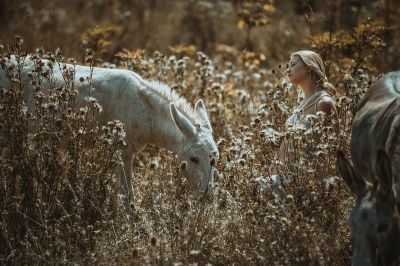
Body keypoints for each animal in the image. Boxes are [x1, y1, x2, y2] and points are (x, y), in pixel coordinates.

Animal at [0, 55, 219, 200]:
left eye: (215, 160)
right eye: (193, 159)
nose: (208, 197)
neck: (142, 112)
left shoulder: (128, 152)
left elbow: (127, 194)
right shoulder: (119, 150)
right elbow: (126, 195)